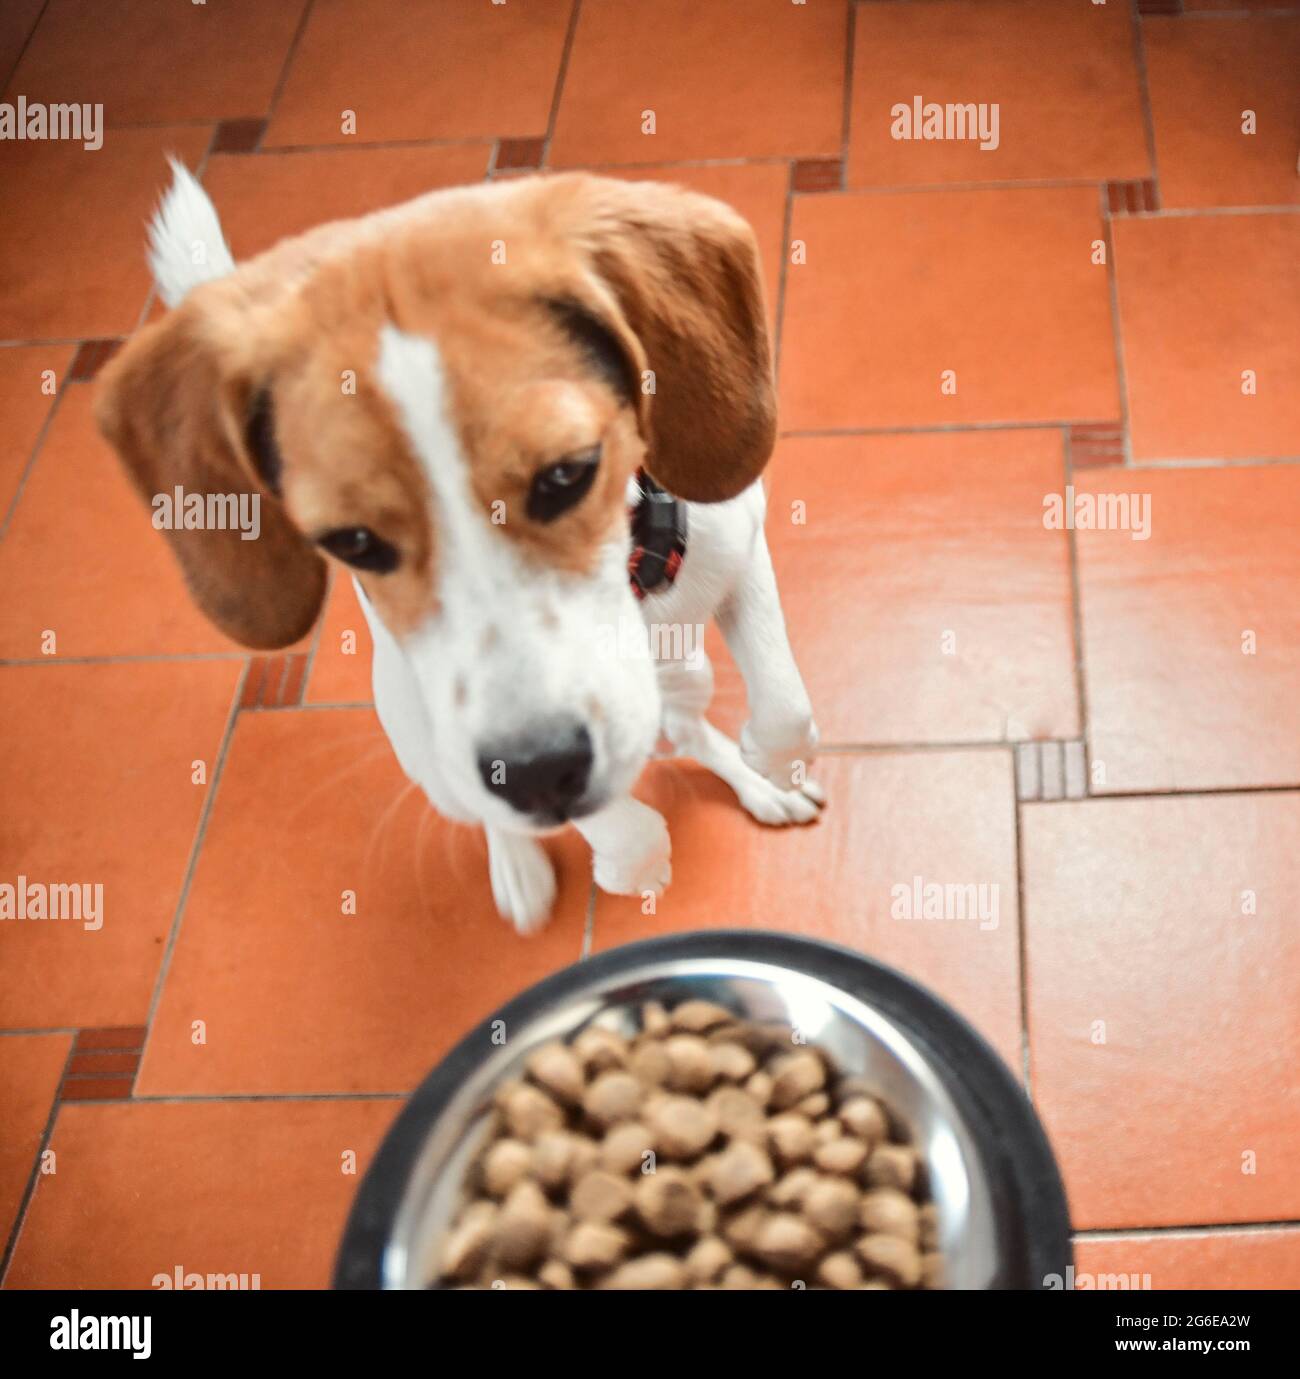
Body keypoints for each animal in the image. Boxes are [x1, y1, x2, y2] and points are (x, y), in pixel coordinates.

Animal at [96, 164, 821, 937]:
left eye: (567, 473)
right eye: (352, 541)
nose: (536, 771)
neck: (636, 591)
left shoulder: (741, 546)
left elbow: (783, 702)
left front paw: (770, 763)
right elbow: (607, 819)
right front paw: (633, 856)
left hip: (686, 674)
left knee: (683, 729)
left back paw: (751, 780)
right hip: (425, 749)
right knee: (494, 808)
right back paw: (522, 865)